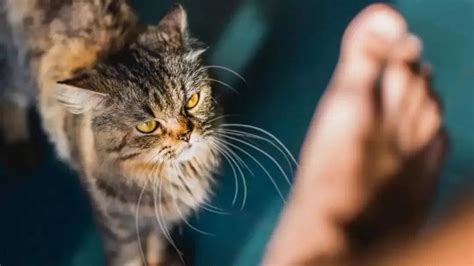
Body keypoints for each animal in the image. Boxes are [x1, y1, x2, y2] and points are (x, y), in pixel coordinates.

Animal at [0, 1, 222, 264]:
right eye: (148, 126)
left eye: (192, 101)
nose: (186, 135)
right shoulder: (118, 227)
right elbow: (131, 257)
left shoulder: (160, 220)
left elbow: (157, 245)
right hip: (18, 74)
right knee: (8, 92)